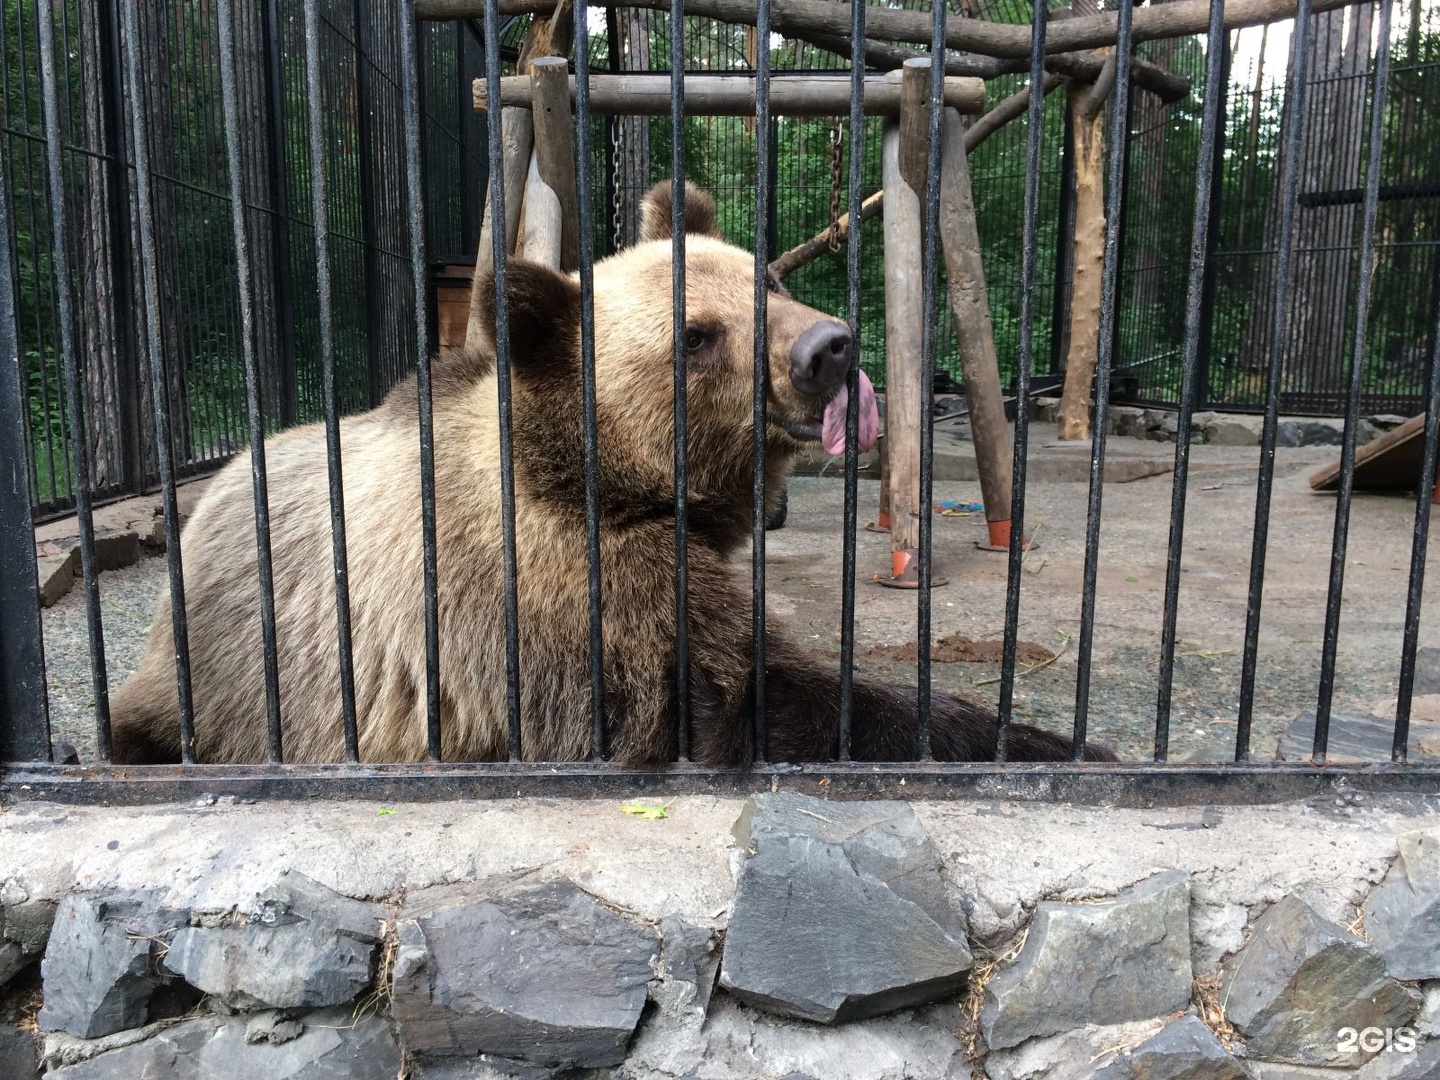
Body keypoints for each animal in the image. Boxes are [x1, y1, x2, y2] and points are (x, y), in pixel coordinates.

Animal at [112, 182, 1111, 766]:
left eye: (765, 281)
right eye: (696, 337)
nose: (828, 348)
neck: (612, 477)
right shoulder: (565, 596)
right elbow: (751, 696)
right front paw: (1052, 741)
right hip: (229, 672)